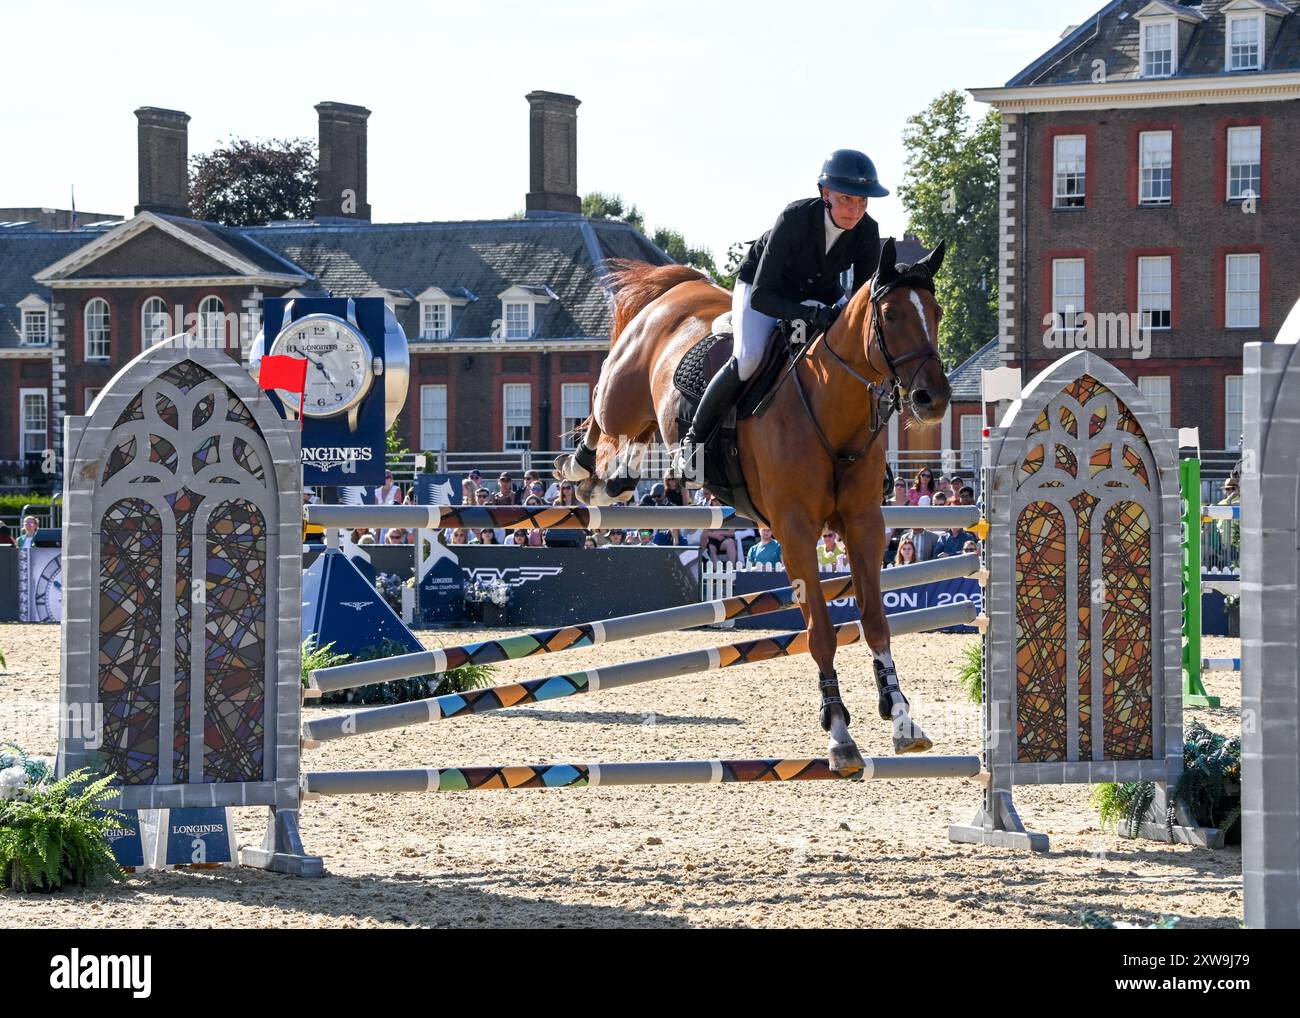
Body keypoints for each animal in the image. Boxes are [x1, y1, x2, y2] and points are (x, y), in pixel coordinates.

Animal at [553, 239, 951, 774]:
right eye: (889, 315)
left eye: (936, 312)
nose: (933, 399)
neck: (831, 410)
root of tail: (683, 285)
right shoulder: (796, 530)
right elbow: (820, 632)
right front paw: (839, 734)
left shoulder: (864, 525)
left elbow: (875, 622)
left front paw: (902, 718)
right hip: (623, 389)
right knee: (600, 405)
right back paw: (581, 471)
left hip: (652, 416)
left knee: (637, 438)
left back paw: (612, 484)